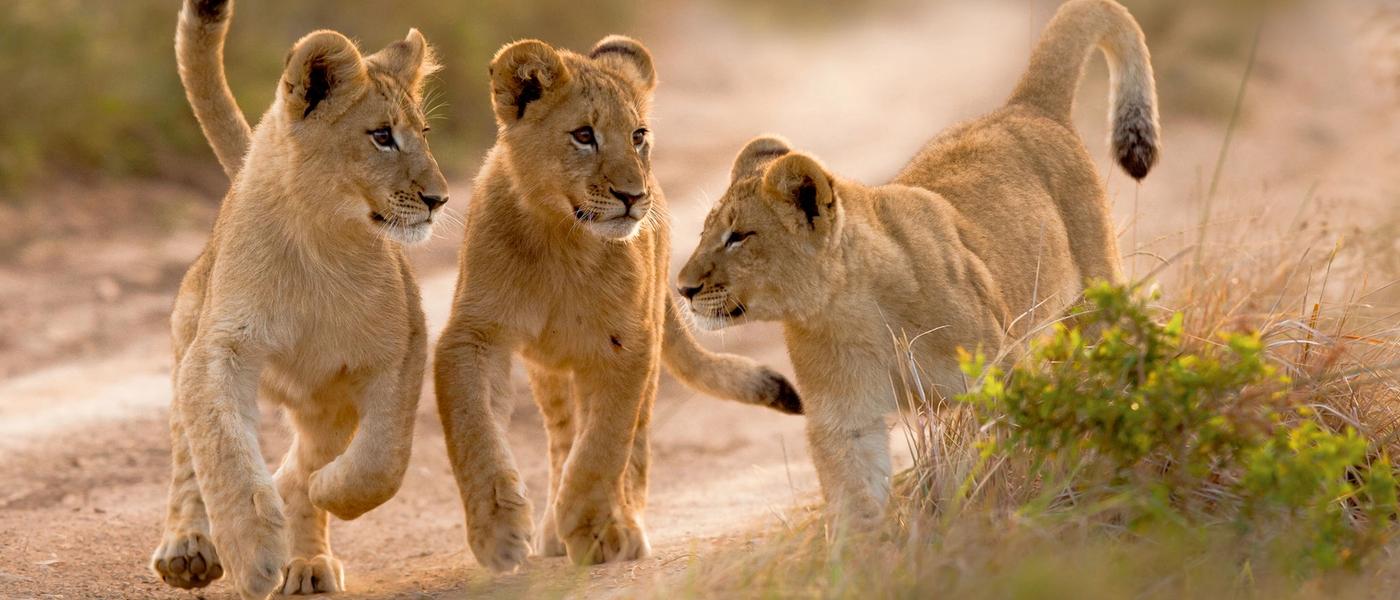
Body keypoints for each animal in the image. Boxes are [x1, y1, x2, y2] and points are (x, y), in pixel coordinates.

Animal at [150, 1, 448, 597]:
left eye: (424, 133)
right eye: (382, 136)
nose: (439, 198)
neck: (321, 241)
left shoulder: (401, 349)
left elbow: (382, 460)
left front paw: (325, 492)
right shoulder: (220, 349)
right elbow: (221, 447)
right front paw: (251, 552)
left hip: (324, 398)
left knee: (307, 460)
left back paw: (307, 554)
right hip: (188, 334)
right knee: (186, 453)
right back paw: (188, 548)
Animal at [433, 36, 803, 571]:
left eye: (638, 135)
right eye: (584, 135)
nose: (633, 195)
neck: (561, 239)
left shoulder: (627, 342)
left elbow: (604, 443)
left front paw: (592, 525)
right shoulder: (473, 334)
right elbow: (474, 429)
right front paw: (498, 531)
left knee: (633, 439)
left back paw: (618, 523)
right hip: (549, 371)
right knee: (562, 435)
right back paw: (553, 528)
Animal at [676, 0, 1160, 524]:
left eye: (739, 237)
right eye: (705, 233)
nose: (682, 287)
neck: (852, 310)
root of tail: (1025, 106)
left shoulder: (993, 378)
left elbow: (989, 462)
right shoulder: (845, 419)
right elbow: (856, 499)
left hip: (1093, 299)